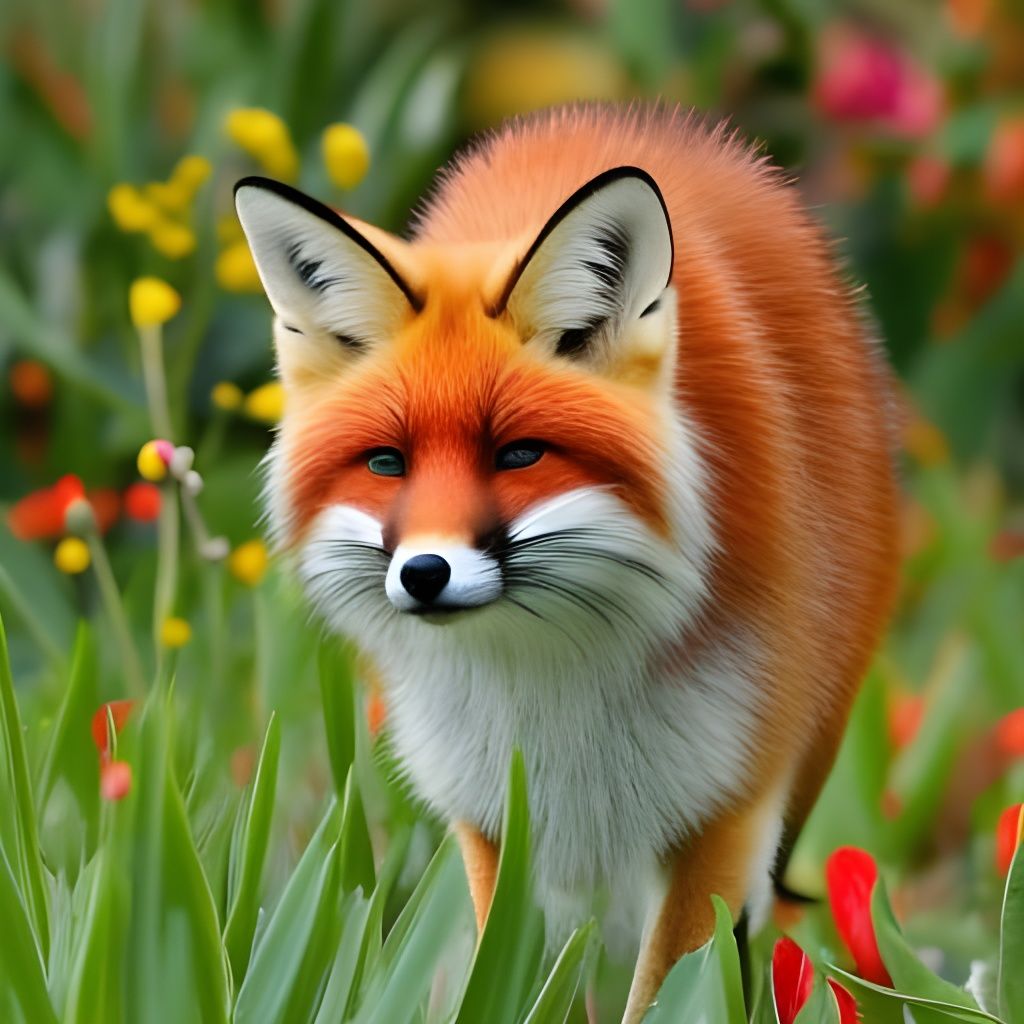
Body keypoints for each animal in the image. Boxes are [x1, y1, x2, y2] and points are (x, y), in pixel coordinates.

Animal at [234, 102, 900, 1021]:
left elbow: (671, 991)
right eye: (386, 463)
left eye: (518, 455)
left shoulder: (724, 809)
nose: (425, 573)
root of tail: (612, 116)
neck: (554, 684)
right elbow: (508, 977)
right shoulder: (496, 817)